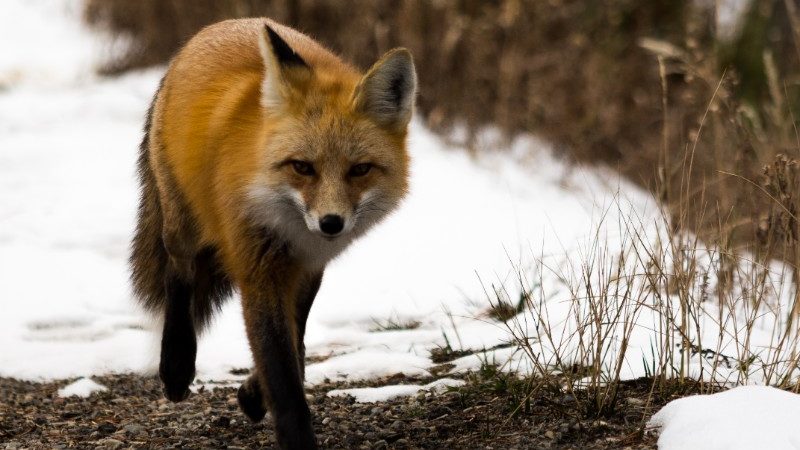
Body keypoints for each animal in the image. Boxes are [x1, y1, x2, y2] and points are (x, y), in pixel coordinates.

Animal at [130, 18, 418, 450]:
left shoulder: (307, 265)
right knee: (179, 275)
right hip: (182, 225)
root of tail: (221, 25)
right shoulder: (258, 269)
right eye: (302, 167)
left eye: (360, 170)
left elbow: (291, 343)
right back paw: (176, 364)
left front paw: (254, 393)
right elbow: (281, 372)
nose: (331, 223)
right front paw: (294, 434)